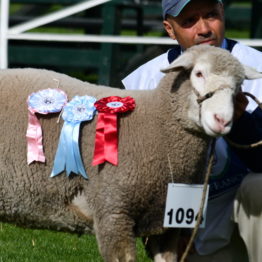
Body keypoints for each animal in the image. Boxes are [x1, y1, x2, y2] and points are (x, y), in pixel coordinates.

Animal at [0, 45, 260, 262]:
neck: (158, 124)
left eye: (239, 85)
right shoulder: (113, 212)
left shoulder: (167, 223)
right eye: (198, 73)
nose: (222, 120)